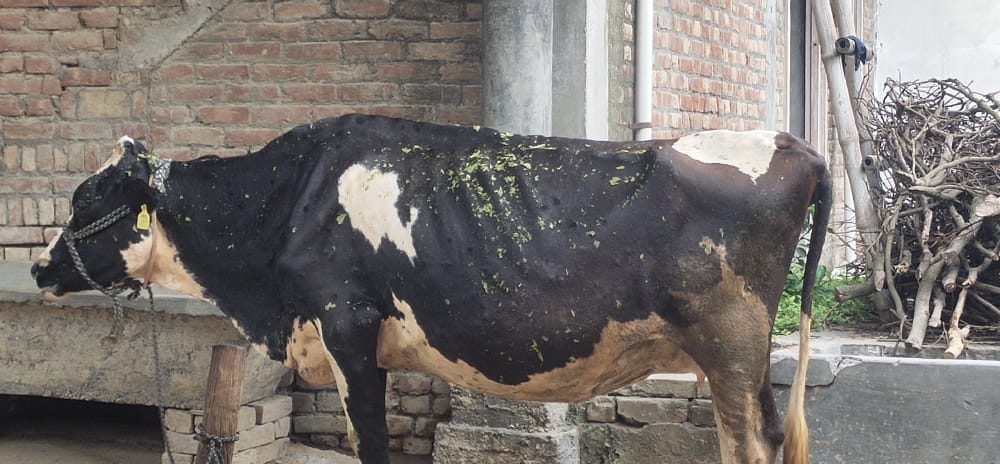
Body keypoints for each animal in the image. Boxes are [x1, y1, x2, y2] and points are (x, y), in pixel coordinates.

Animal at [32, 114, 829, 464]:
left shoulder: (346, 326)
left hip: (730, 346)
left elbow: (373, 444)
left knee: (750, 446)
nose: (39, 268)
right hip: (742, 360)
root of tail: (793, 144)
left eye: (85, 197)